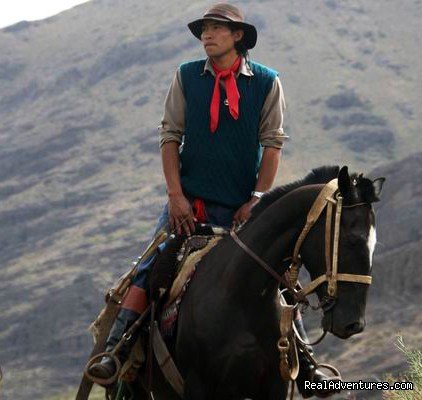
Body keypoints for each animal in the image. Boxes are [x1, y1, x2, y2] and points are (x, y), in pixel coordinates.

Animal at [119, 164, 386, 398]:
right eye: (352, 240)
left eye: (374, 245)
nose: (354, 324)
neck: (240, 295)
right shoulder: (198, 387)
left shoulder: (275, 385)